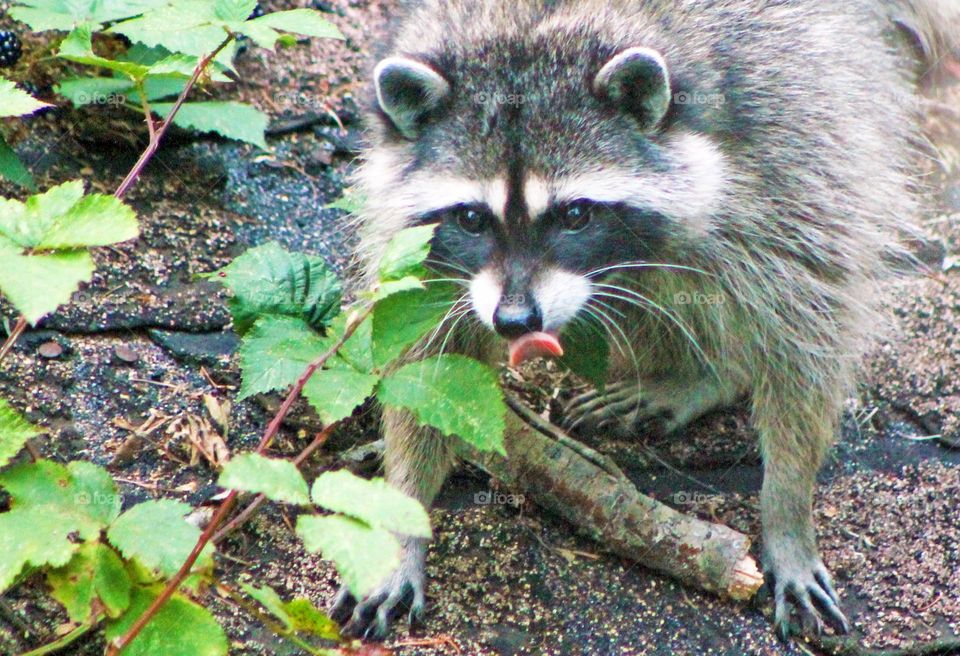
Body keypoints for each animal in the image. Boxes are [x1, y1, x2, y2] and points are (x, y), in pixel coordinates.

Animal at [332, 0, 958, 641]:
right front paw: (401, 517)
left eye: (575, 214)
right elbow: (430, 371)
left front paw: (786, 509)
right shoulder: (419, 251)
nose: (514, 320)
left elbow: (806, 332)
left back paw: (710, 376)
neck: (537, 27)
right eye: (471, 218)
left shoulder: (788, 147)